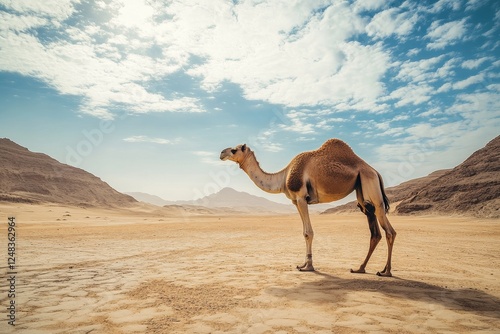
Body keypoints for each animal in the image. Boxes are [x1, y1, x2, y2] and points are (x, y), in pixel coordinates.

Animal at [221, 138, 396, 276]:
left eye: (234, 149)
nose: (221, 153)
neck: (284, 176)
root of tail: (376, 172)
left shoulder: (301, 197)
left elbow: (308, 233)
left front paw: (308, 267)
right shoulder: (296, 201)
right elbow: (304, 232)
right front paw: (303, 264)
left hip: (372, 188)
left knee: (389, 231)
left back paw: (386, 272)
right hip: (362, 194)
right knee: (376, 232)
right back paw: (361, 268)